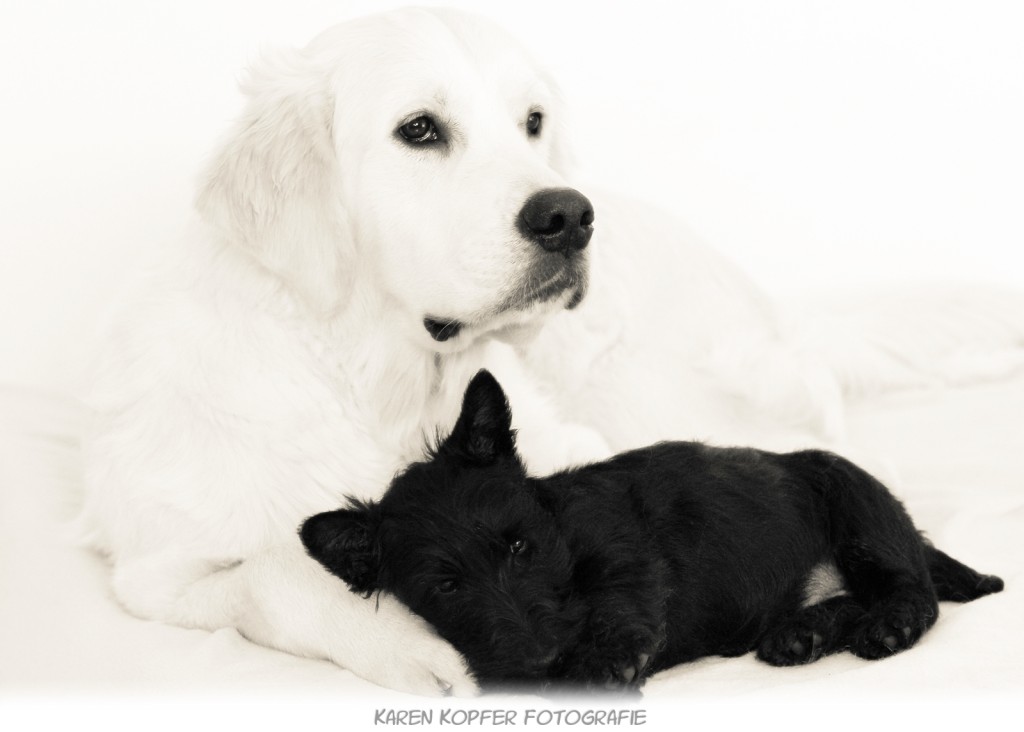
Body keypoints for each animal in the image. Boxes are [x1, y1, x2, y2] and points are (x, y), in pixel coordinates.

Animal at [299, 372, 1003, 692]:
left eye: (519, 546)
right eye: (445, 586)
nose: (540, 658)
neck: (559, 529)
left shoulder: (627, 553)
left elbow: (622, 598)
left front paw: (601, 664)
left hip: (856, 507)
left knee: (912, 592)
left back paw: (887, 627)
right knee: (851, 600)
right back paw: (799, 634)